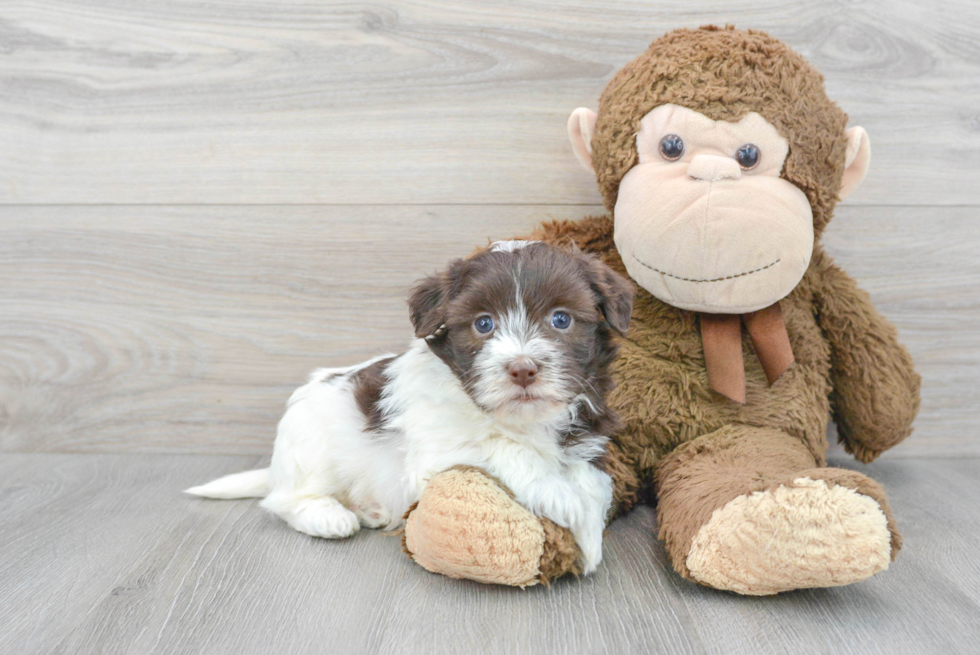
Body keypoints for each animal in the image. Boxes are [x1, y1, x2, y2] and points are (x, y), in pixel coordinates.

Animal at [188, 241, 636, 576]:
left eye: (561, 319)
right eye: (483, 324)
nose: (522, 369)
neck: (519, 419)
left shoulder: (584, 439)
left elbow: (596, 482)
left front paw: (590, 524)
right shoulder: (438, 451)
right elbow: (507, 449)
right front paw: (569, 505)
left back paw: (369, 509)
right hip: (309, 443)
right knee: (283, 499)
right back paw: (329, 516)